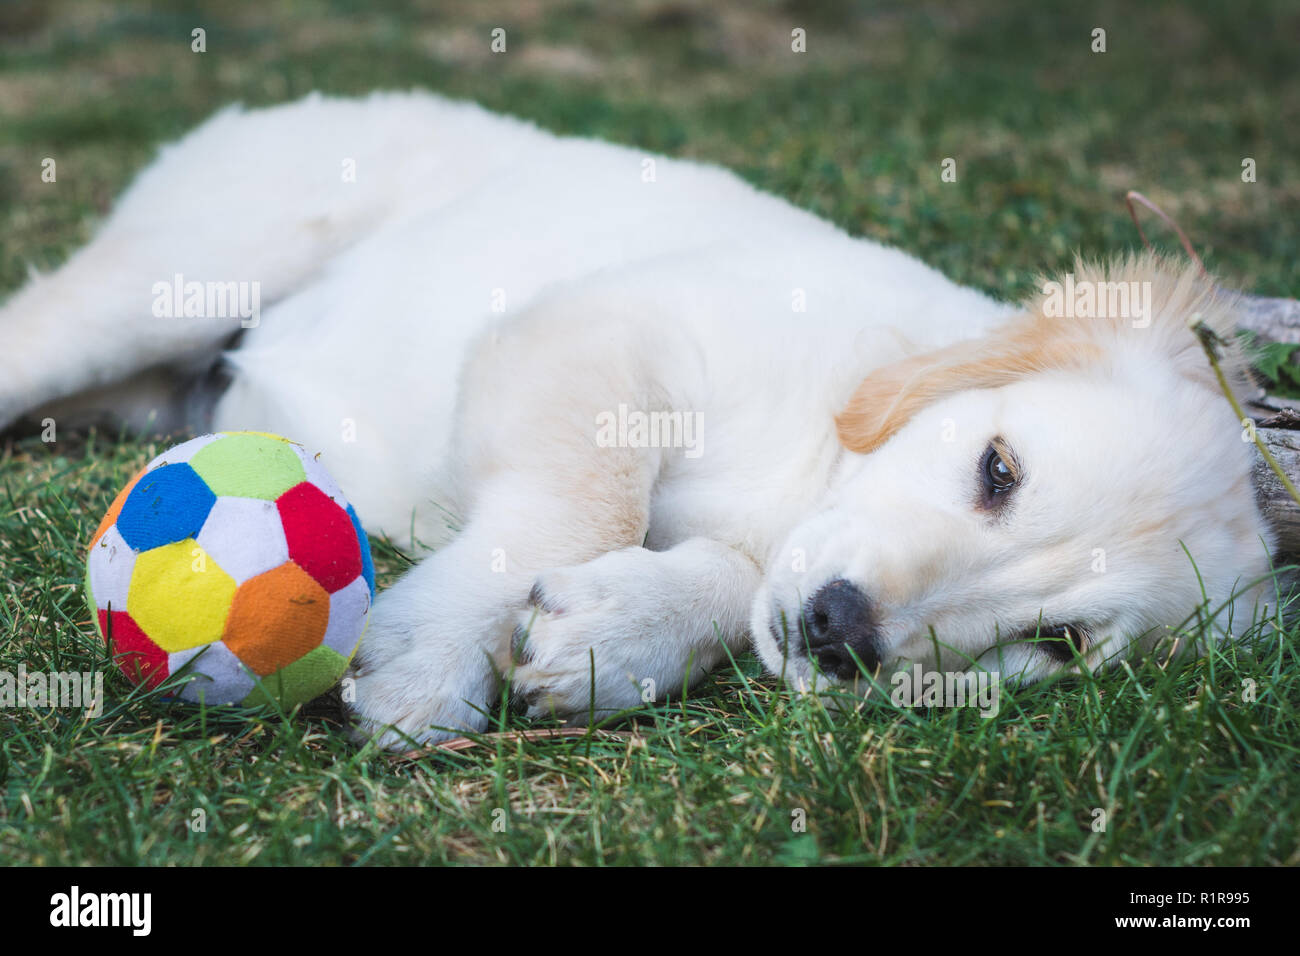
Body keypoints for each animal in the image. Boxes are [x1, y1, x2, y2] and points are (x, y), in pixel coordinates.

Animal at [0, 91, 1279, 749]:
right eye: (997, 467)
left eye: (1058, 644)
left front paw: (620, 637)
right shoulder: (597, 326)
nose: (840, 632)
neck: (815, 461)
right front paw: (431, 657)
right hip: (174, 275)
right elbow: (590, 500)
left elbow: (719, 573)